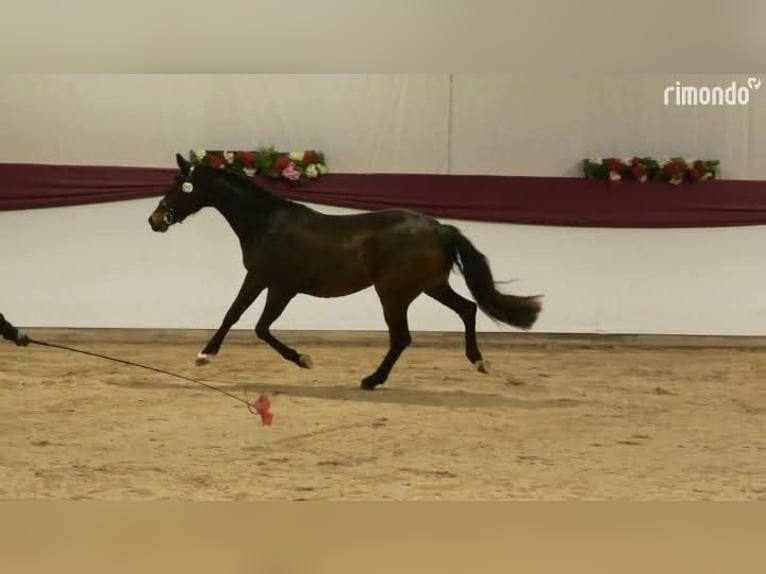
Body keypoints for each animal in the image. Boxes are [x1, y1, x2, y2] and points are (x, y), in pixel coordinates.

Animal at [148, 153, 542, 390]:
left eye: (180, 186)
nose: (155, 220)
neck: (267, 223)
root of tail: (439, 228)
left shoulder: (270, 282)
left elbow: (245, 320)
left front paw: (206, 356)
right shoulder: (274, 285)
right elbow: (250, 321)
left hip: (394, 294)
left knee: (402, 337)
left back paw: (372, 380)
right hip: (430, 286)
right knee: (468, 309)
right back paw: (479, 362)